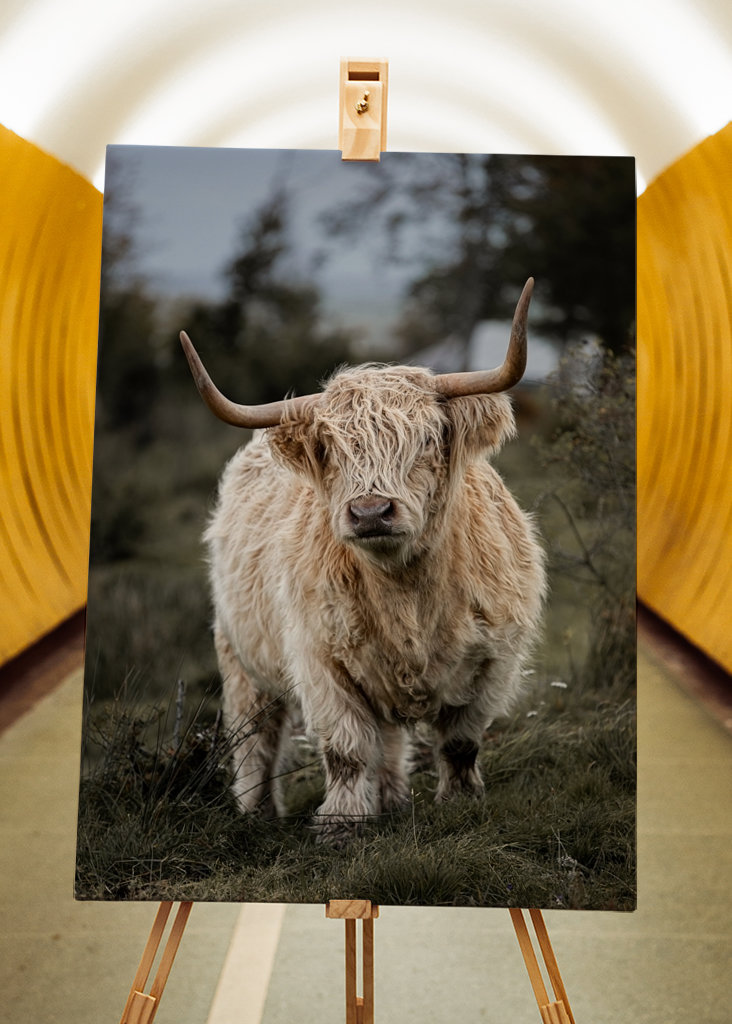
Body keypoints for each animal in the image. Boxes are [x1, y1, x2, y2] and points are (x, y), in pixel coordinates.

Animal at [181, 278, 545, 844]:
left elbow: (460, 741)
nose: (371, 511)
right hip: (240, 657)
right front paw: (343, 825)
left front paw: (461, 805)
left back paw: (393, 801)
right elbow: (346, 749)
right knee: (255, 739)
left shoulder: (494, 659)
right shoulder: (321, 660)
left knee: (390, 740)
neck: (406, 591)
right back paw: (257, 814)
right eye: (330, 449)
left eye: (426, 439)